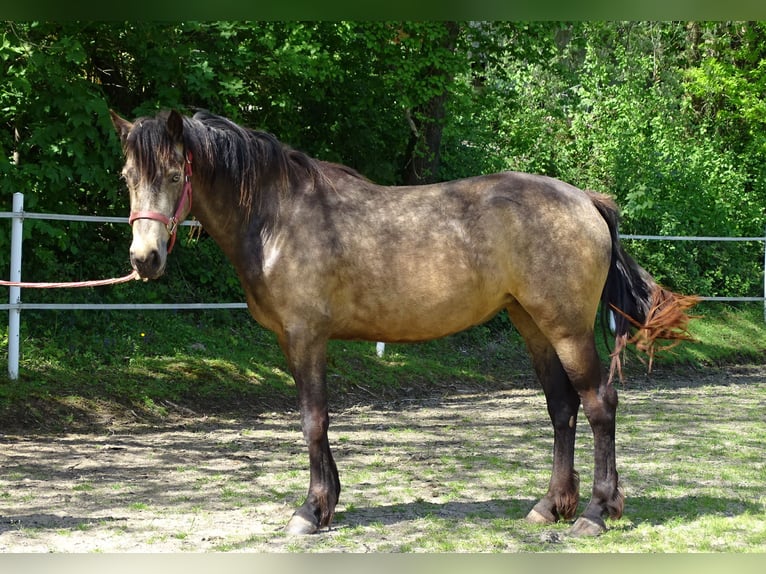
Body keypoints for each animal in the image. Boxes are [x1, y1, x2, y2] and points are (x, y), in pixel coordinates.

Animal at [110, 109, 697, 537]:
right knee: (562, 408)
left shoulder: (305, 338)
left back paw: (597, 513)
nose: (144, 258)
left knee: (599, 404)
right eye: (128, 177)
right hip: (533, 325)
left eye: (173, 174)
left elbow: (313, 420)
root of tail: (586, 201)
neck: (278, 218)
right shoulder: (297, 342)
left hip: (568, 329)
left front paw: (311, 510)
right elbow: (318, 421)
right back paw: (549, 506)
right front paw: (329, 502)